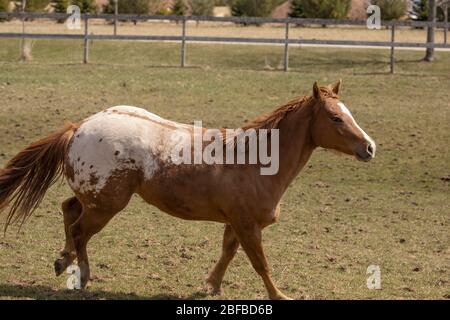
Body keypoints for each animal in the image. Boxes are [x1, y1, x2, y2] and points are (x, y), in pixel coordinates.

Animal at [0, 80, 376, 300]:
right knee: (79, 230)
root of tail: (80, 127)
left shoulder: (235, 223)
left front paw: (211, 286)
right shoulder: (247, 224)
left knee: (68, 210)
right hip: (106, 205)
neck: (254, 160)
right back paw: (82, 276)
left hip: (95, 198)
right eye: (336, 118)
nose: (369, 147)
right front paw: (279, 296)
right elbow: (260, 263)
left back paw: (63, 261)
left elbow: (228, 252)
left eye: (348, 113)